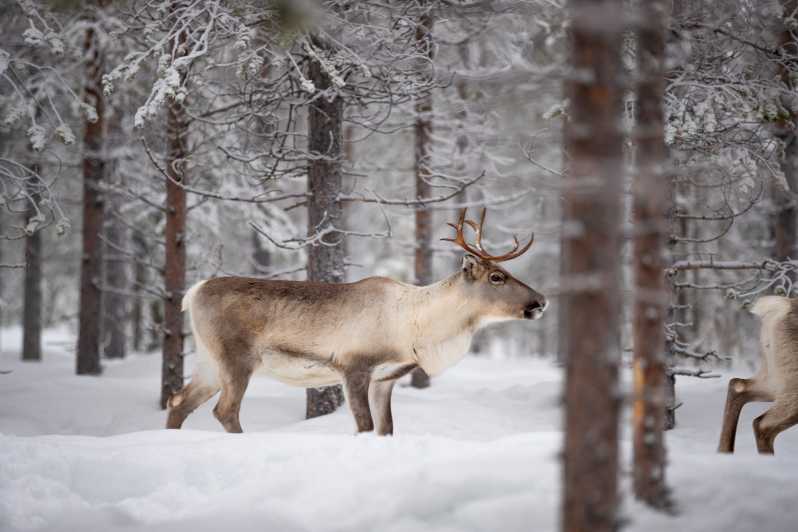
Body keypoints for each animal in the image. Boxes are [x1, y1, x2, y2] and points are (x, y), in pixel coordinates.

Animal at [166, 208, 547, 435]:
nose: (541, 302)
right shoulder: (354, 367)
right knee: (224, 410)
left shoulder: (386, 378)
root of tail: (192, 292)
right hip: (237, 358)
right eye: (496, 277)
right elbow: (363, 426)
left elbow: (386, 428)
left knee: (178, 402)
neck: (417, 327)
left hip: (208, 362)